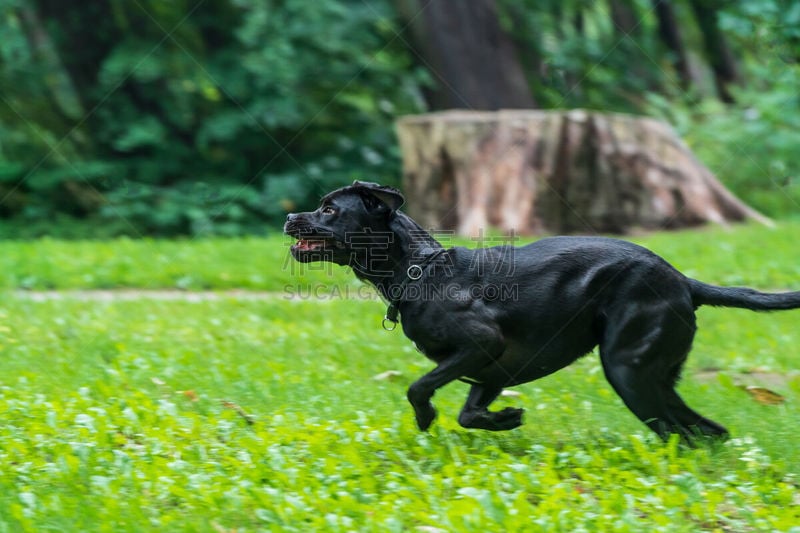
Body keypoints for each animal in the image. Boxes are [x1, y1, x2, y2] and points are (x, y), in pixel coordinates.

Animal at [286, 181, 800, 438]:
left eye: (330, 209)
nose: (290, 216)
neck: (421, 270)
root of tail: (684, 282)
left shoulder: (480, 345)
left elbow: (418, 387)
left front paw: (426, 418)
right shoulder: (491, 370)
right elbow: (469, 414)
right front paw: (505, 420)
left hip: (628, 370)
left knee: (682, 433)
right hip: (654, 377)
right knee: (709, 431)